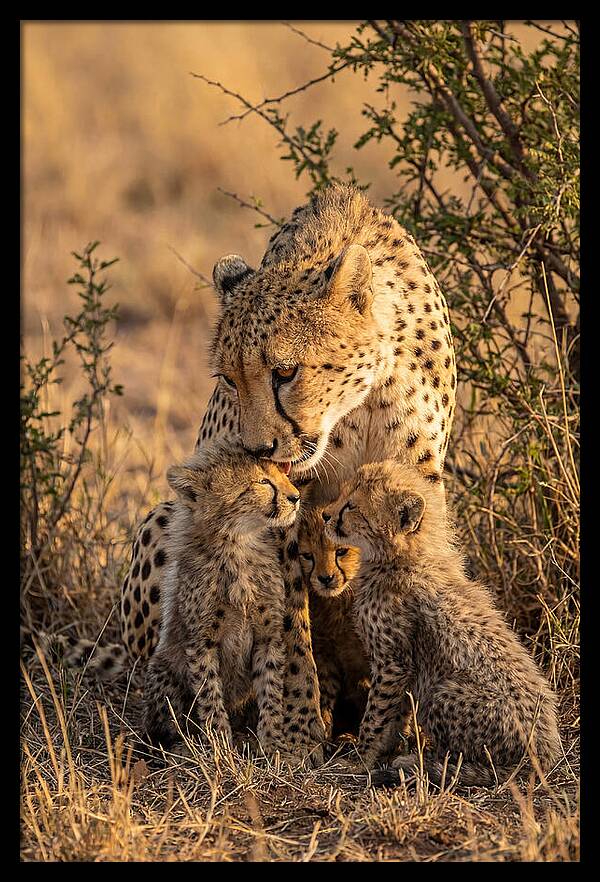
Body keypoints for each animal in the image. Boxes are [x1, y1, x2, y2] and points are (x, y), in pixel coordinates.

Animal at [143, 440, 301, 755]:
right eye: (263, 482)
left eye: (281, 474)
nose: (296, 497)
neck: (238, 546)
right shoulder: (201, 642)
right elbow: (209, 694)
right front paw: (219, 745)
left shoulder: (268, 636)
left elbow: (271, 690)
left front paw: (272, 743)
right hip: (163, 668)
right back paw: (183, 745)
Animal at [322, 460, 562, 787]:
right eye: (342, 495)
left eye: (351, 506)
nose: (325, 515)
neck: (404, 557)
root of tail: (545, 754)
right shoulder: (403, 668)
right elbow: (394, 716)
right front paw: (383, 752)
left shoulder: (393, 663)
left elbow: (377, 716)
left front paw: (361, 759)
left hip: (443, 691)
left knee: (472, 762)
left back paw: (422, 764)